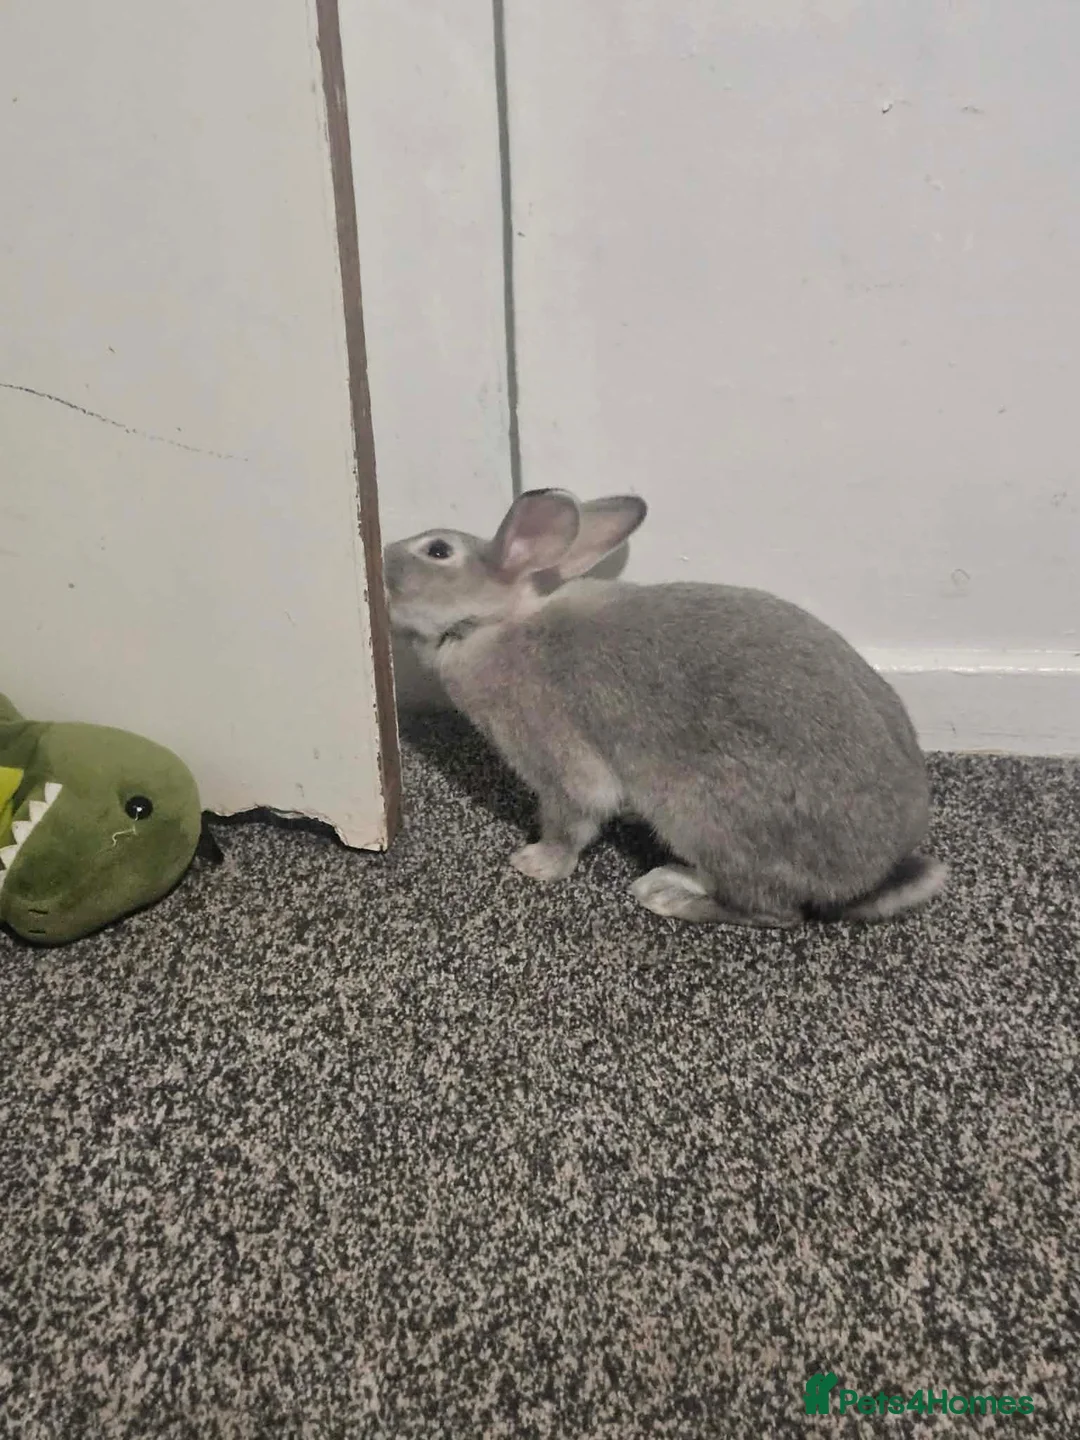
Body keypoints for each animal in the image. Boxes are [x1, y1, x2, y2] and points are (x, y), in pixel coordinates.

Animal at [383, 490, 947, 927]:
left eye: (437, 550)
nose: (381, 554)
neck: (489, 624)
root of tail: (869, 873)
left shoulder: (558, 760)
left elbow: (573, 819)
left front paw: (535, 862)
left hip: (703, 815)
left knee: (773, 910)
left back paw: (668, 893)